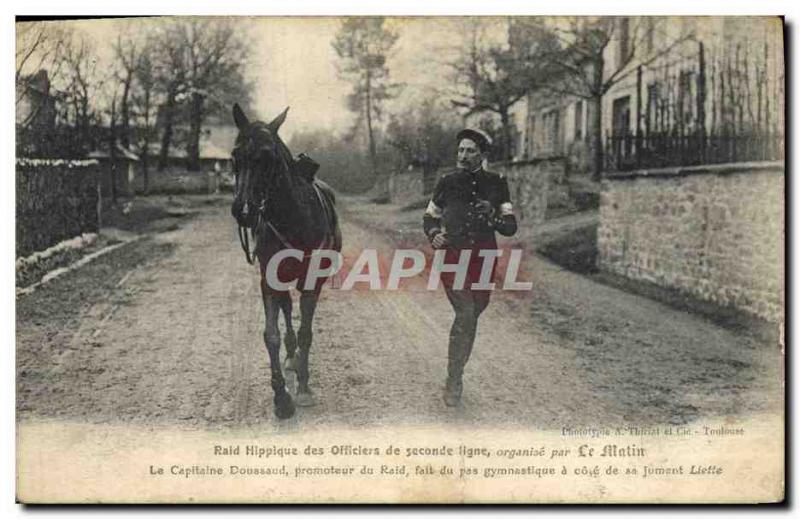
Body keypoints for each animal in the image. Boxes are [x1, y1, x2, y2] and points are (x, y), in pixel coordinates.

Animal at [231, 103, 344, 420]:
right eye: (235, 156)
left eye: (268, 156)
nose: (244, 210)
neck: (293, 216)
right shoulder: (269, 279)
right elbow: (271, 334)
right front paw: (281, 396)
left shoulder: (311, 280)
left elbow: (306, 332)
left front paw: (303, 388)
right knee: (286, 309)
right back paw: (291, 357)